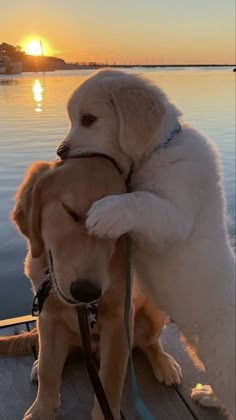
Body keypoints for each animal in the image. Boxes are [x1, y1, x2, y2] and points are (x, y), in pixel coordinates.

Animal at [6, 158, 182, 420]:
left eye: (117, 228)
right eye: (70, 212)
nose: (86, 292)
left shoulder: (118, 324)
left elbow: (110, 382)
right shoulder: (48, 317)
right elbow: (48, 367)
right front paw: (42, 409)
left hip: (154, 313)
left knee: (149, 342)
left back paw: (164, 363)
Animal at [56, 69, 235, 416]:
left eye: (88, 119)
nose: (60, 151)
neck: (159, 150)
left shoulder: (176, 214)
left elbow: (141, 200)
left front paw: (106, 211)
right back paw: (208, 394)